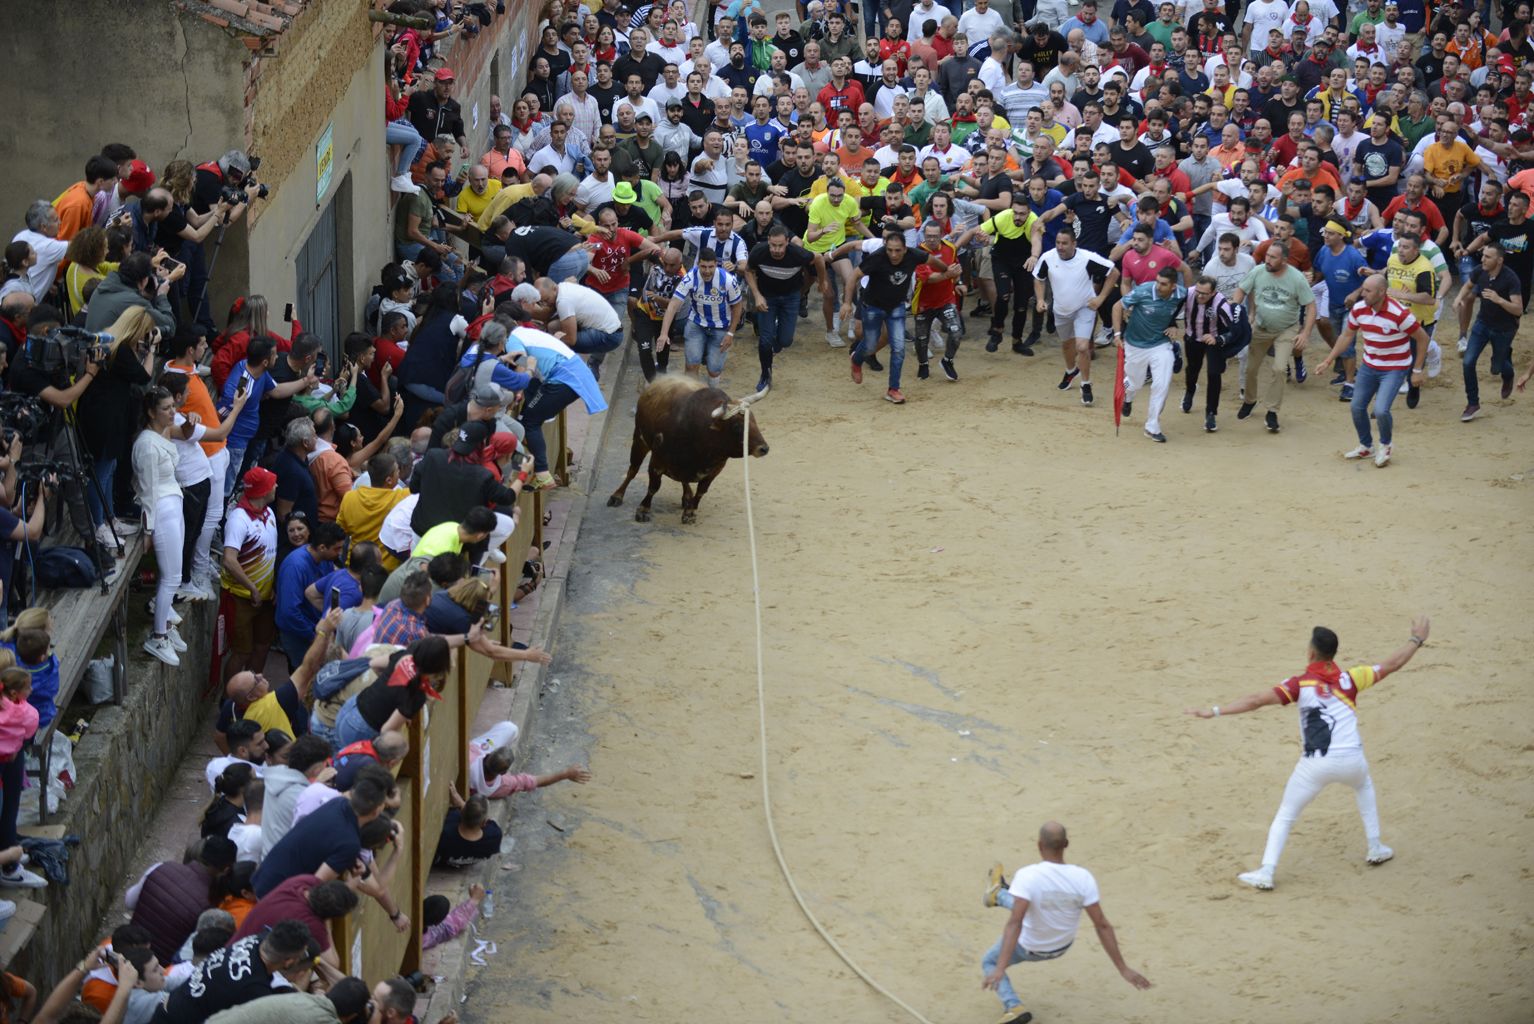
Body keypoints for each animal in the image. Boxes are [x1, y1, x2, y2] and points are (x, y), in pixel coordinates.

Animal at [601, 375, 763, 524]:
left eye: (754, 420)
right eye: (737, 427)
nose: (764, 448)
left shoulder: (715, 469)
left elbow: (701, 491)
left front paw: (690, 512)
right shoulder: (657, 462)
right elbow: (653, 487)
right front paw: (643, 510)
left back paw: (687, 498)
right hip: (639, 439)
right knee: (632, 470)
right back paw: (617, 496)